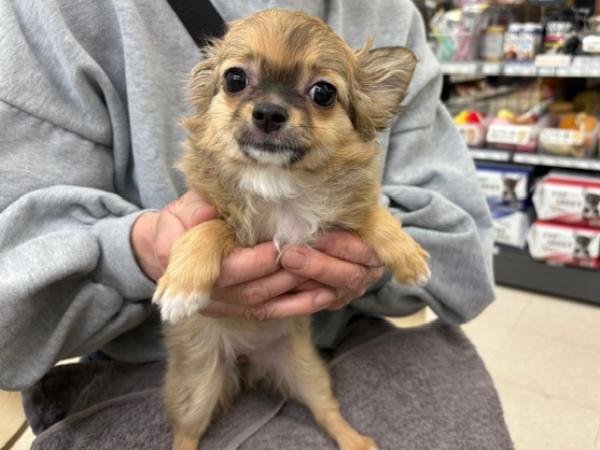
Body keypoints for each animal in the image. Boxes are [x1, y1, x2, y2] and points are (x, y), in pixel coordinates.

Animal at [153, 9, 430, 450]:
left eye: (323, 92)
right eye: (234, 79)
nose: (268, 112)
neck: (278, 186)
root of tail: (249, 362)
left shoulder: (337, 217)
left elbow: (373, 215)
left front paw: (408, 257)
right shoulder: (218, 217)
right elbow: (209, 229)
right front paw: (182, 287)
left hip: (308, 371)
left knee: (326, 410)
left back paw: (355, 440)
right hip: (196, 385)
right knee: (186, 432)